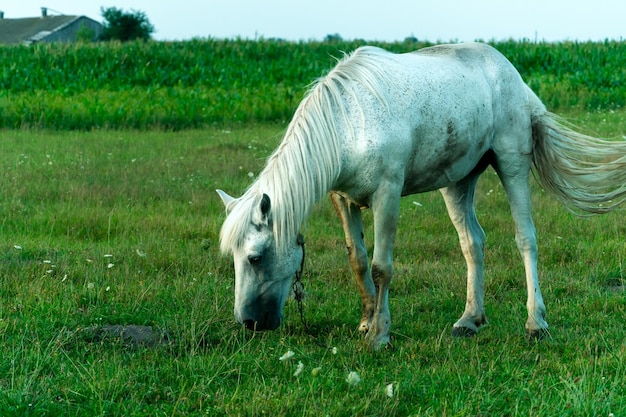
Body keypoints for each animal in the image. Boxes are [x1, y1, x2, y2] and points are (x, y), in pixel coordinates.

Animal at [216, 43, 624, 348]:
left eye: (255, 257)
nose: (248, 322)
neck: (349, 122)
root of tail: (515, 77)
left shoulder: (387, 194)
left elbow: (381, 266)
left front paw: (379, 335)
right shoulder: (343, 200)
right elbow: (358, 261)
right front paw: (366, 322)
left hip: (511, 165)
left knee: (526, 239)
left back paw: (535, 323)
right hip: (458, 182)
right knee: (472, 243)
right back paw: (469, 320)